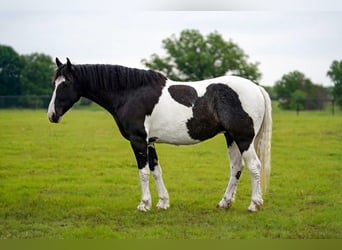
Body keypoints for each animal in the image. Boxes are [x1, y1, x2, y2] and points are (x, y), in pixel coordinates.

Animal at [48, 58, 272, 213]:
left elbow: (143, 172)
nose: (52, 115)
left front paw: (144, 204)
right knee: (236, 167)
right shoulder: (150, 142)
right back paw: (224, 203)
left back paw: (254, 205)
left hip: (243, 138)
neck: (131, 93)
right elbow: (156, 171)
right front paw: (163, 203)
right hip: (230, 137)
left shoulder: (138, 140)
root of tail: (257, 88)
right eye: (53, 83)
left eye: (65, 84)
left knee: (254, 166)